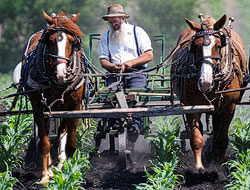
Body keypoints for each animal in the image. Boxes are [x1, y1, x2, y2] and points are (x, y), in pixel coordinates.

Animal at [17, 10, 86, 183]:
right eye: (50, 41)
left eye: (72, 41)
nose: (61, 74)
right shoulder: (39, 107)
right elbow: (45, 141)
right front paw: (45, 175)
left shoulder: (74, 106)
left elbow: (70, 142)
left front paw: (67, 170)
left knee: (62, 131)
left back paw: (59, 163)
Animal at [171, 14, 247, 171]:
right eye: (195, 46)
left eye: (218, 46)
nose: (205, 82)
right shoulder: (191, 106)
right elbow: (196, 138)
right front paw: (199, 168)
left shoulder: (229, 107)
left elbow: (222, 139)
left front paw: (218, 168)